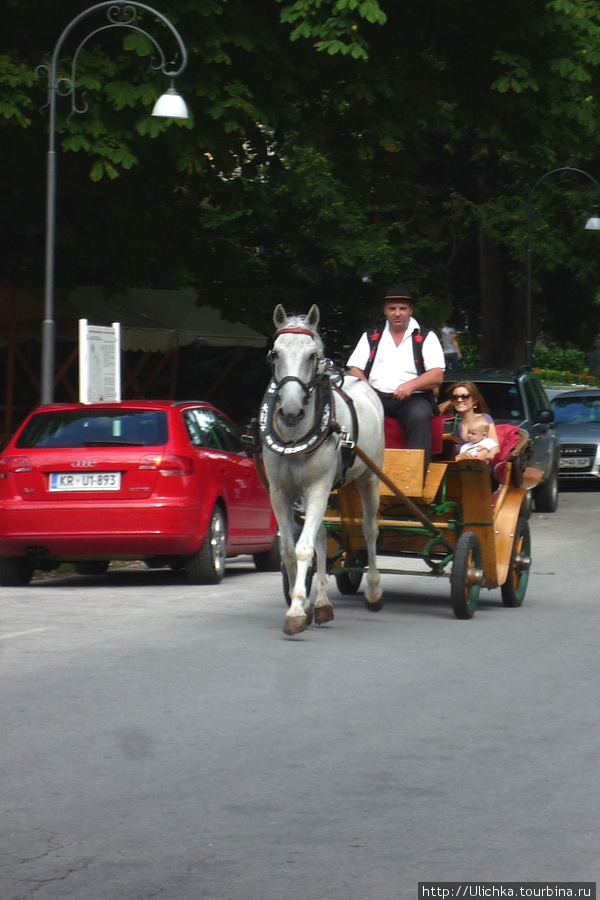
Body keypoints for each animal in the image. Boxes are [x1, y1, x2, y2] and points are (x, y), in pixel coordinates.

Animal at [262, 306, 384, 636]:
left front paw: (295, 612)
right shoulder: (280, 492)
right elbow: (290, 550)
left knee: (370, 530)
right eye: (275, 354)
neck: (294, 437)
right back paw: (321, 604)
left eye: (312, 355)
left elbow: (304, 548)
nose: (291, 412)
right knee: (321, 535)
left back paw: (374, 591)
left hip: (369, 477)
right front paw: (302, 605)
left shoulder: (317, 485)